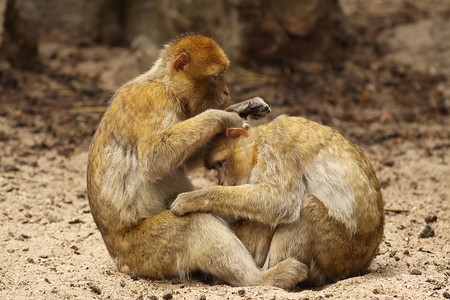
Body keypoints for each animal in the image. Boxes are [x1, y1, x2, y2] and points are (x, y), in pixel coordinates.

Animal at [86, 34, 306, 290]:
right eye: (215, 76)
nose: (227, 91)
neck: (165, 84)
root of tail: (118, 257)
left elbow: (181, 163)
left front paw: (244, 107)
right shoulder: (156, 100)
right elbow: (154, 159)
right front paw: (224, 116)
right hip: (144, 251)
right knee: (193, 222)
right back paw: (261, 278)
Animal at [171, 115, 384, 286]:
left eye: (220, 164)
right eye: (216, 167)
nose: (221, 182)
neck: (258, 144)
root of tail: (361, 264)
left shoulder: (274, 149)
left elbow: (281, 201)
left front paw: (191, 199)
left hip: (339, 252)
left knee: (306, 208)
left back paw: (271, 275)